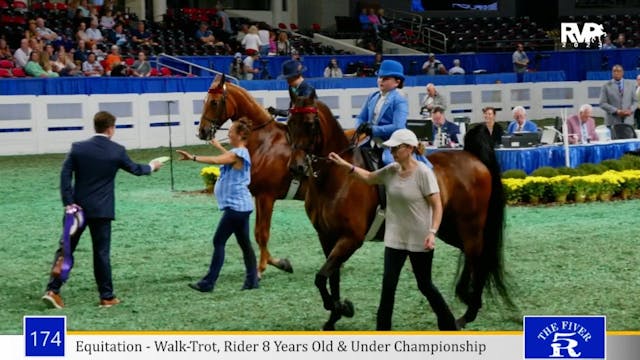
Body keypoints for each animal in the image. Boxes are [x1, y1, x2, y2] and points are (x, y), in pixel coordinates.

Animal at [286, 95, 510, 330]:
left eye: (310, 124)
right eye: (290, 124)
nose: (296, 167)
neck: (334, 178)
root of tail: (473, 158)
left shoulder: (350, 238)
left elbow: (321, 277)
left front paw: (341, 308)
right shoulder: (326, 236)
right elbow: (332, 276)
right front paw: (335, 315)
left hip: (470, 225)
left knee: (480, 257)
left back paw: (468, 313)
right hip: (447, 227)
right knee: (469, 253)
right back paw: (465, 298)